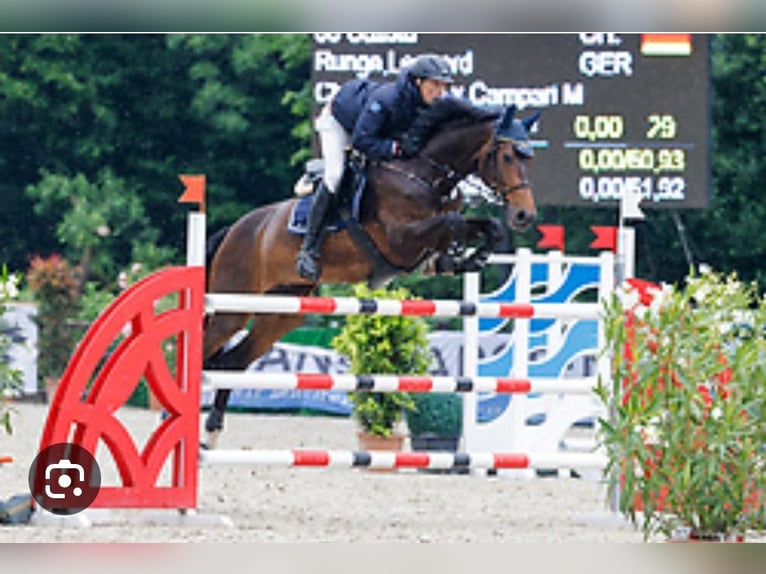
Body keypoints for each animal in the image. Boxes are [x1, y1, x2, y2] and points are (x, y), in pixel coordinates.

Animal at [201, 99, 544, 448]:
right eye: (506, 156)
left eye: (529, 158)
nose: (524, 215)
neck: (425, 175)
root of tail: (235, 229)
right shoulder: (400, 239)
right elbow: (451, 223)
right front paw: (458, 256)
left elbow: (487, 226)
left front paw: (463, 259)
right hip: (233, 306)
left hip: (282, 312)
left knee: (232, 362)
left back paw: (211, 433)